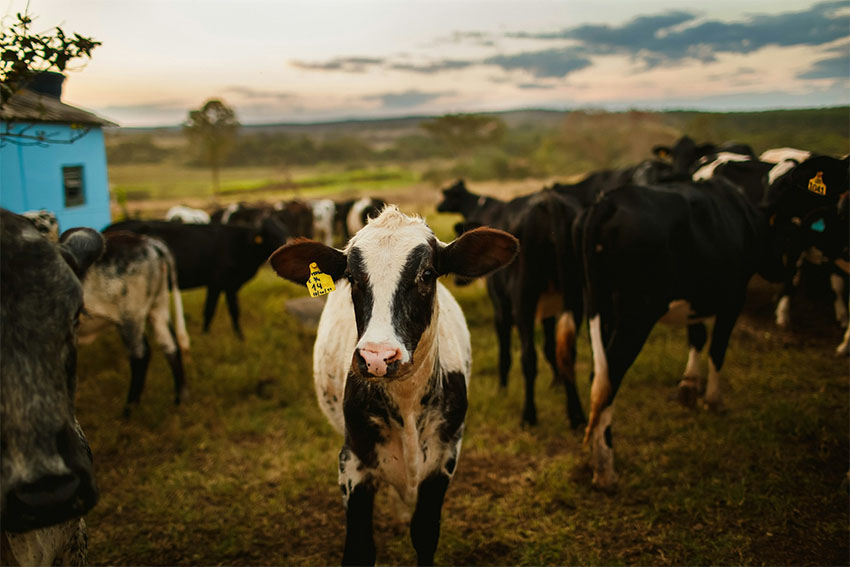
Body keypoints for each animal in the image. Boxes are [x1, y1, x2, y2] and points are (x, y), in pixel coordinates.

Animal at [75, 231, 190, 415]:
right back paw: (180, 400)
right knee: (170, 347)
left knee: (141, 355)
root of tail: (147, 241)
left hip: (131, 317)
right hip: (158, 307)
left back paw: (129, 410)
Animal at [104, 216, 290, 339]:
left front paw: (239, 336)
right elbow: (211, 310)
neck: (241, 244)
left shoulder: (230, 285)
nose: (287, 242)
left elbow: (234, 311)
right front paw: (206, 335)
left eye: (283, 230)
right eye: (271, 235)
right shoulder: (217, 283)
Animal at [269, 206, 518, 565]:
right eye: (352, 277)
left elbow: (425, 534)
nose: (377, 357)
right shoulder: (353, 462)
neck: (407, 401)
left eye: (427, 275)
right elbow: (359, 549)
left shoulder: (444, 458)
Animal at [574, 178, 783, 489]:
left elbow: (696, 336)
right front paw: (713, 400)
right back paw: (606, 470)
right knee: (611, 375)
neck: (744, 216)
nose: (783, 272)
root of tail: (608, 201)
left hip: (599, 306)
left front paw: (689, 387)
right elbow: (718, 349)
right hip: (638, 313)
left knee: (599, 376)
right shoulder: (733, 298)